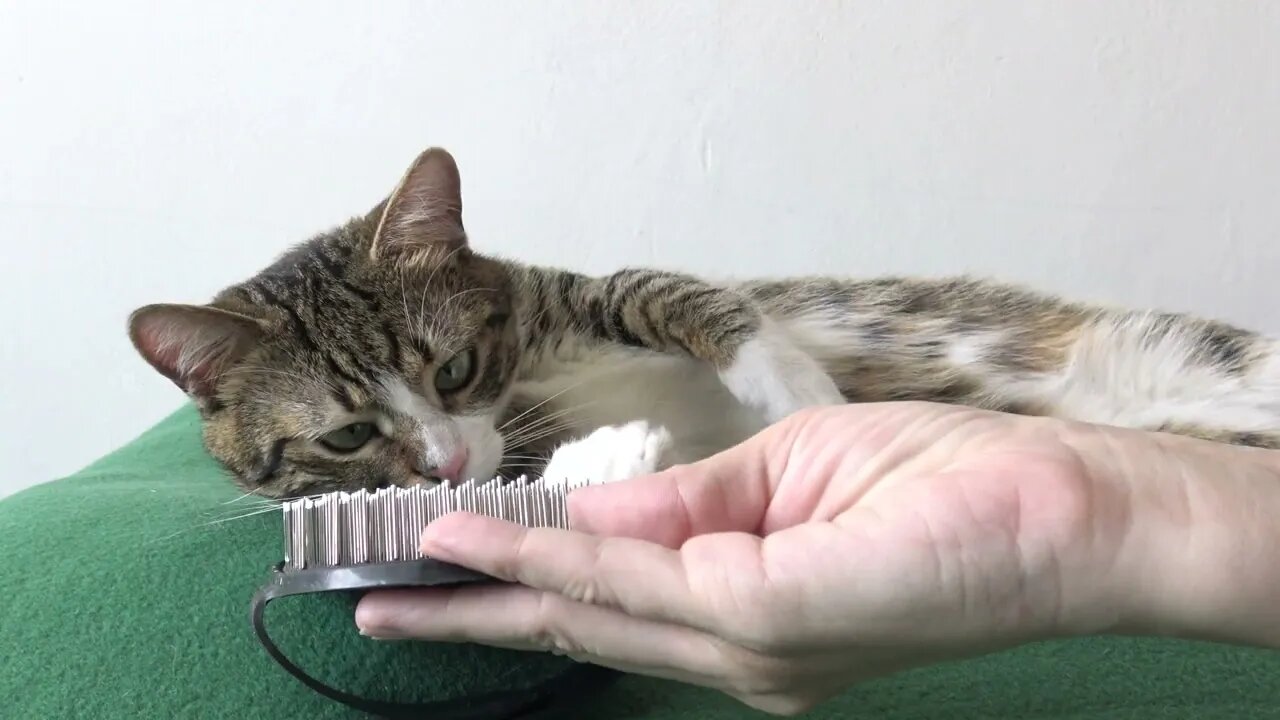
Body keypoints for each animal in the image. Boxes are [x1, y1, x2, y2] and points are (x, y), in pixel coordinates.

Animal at [124, 147, 1280, 497]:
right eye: (349, 436)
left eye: (453, 369)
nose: (445, 458)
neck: (528, 381)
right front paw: (604, 459)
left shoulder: (568, 291)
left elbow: (664, 285)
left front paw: (798, 387)